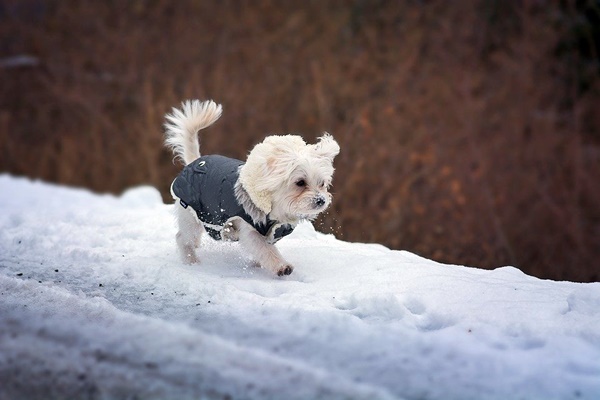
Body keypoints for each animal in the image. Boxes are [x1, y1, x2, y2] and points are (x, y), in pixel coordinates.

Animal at [164, 99, 340, 276]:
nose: (321, 200)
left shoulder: (270, 232)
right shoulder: (250, 230)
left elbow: (262, 251)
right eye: (300, 182)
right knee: (183, 238)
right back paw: (191, 260)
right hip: (191, 215)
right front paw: (281, 266)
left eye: (322, 184)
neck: (275, 209)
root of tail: (194, 162)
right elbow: (265, 249)